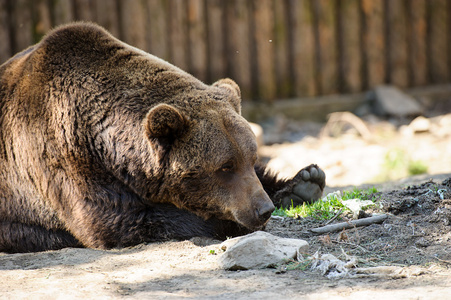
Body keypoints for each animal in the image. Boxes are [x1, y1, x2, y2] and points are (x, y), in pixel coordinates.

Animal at [0, 22, 324, 253]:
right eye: (225, 167)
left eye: (251, 157)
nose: (263, 210)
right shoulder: (67, 157)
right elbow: (118, 220)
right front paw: (230, 223)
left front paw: (305, 181)